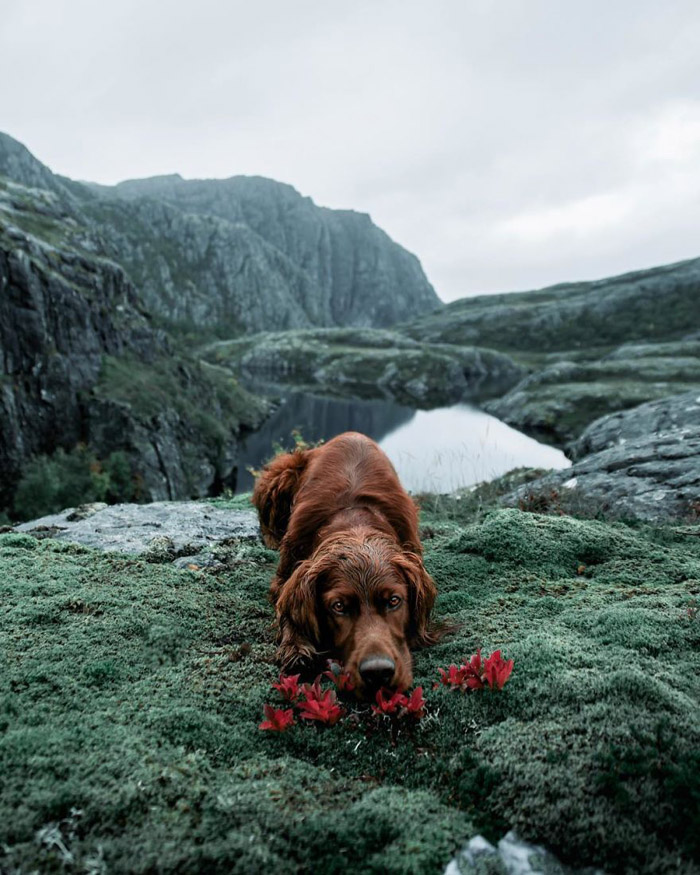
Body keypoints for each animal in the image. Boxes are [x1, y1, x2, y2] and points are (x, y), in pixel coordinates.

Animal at [250, 432, 438, 700]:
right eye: (338, 606)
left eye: (394, 601)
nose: (378, 673)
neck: (354, 519)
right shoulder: (286, 576)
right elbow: (287, 612)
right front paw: (296, 649)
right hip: (281, 471)